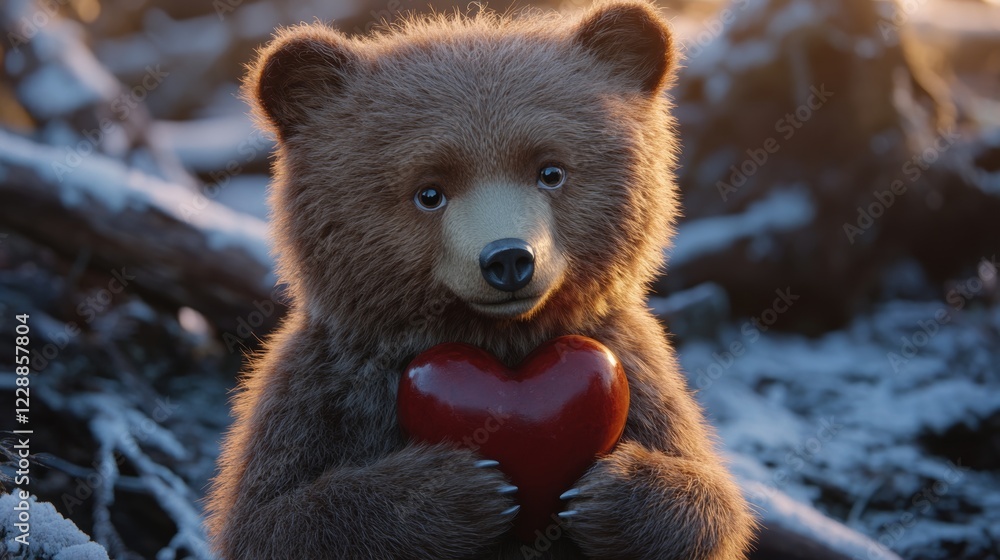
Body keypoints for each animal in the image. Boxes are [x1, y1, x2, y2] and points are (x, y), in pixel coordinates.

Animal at [205, 1, 756, 558]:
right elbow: (272, 519)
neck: (495, 337)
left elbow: (710, 499)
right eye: (429, 192)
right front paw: (461, 488)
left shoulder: (638, 370)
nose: (509, 258)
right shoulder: (326, 390)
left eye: (550, 171)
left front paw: (606, 494)